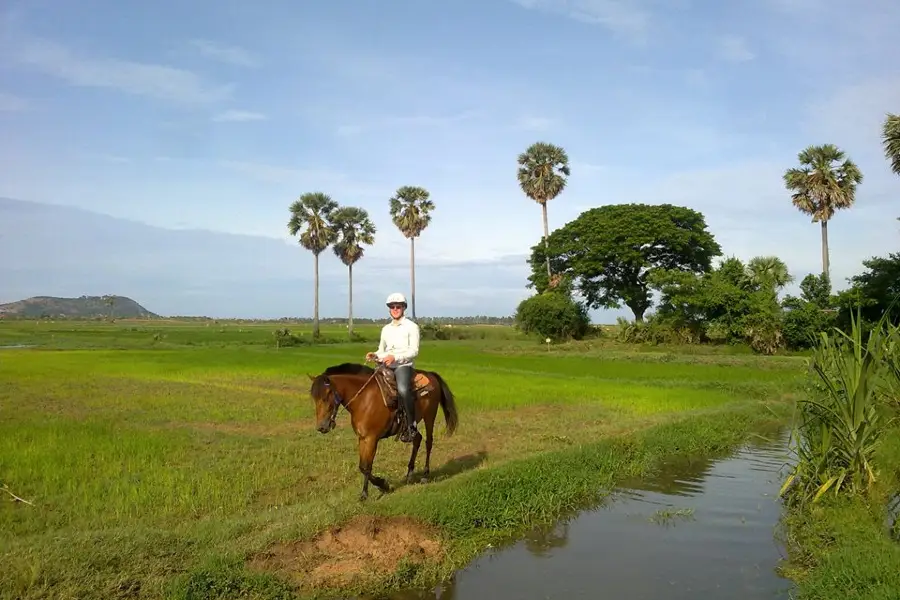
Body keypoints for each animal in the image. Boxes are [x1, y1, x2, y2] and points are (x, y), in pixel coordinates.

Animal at [312, 364, 464, 500]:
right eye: (314, 398)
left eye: (326, 396)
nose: (321, 427)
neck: (363, 399)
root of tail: (430, 375)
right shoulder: (363, 438)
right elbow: (362, 466)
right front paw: (378, 487)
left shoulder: (372, 439)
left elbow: (367, 467)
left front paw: (374, 489)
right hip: (411, 426)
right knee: (417, 439)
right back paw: (409, 474)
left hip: (429, 417)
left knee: (429, 442)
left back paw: (425, 476)